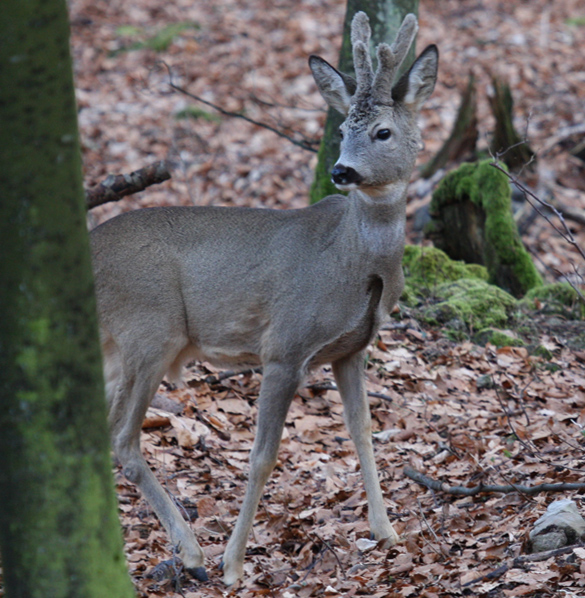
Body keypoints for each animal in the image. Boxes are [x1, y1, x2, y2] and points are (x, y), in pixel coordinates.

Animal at [90, 12, 438, 584]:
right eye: (341, 130)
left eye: (382, 131)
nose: (341, 171)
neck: (353, 264)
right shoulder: (285, 346)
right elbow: (262, 456)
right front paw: (234, 562)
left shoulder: (352, 348)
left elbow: (363, 431)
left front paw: (386, 531)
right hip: (150, 330)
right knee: (121, 436)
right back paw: (192, 551)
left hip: (115, 348)